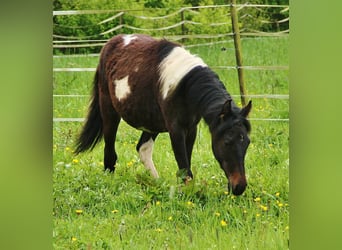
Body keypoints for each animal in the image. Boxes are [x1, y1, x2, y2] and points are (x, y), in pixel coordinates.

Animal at [75, 34, 251, 196]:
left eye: (247, 142)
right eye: (227, 141)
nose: (239, 187)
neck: (184, 86)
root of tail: (111, 43)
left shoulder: (191, 129)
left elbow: (185, 165)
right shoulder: (176, 129)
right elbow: (184, 168)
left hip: (151, 123)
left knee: (143, 148)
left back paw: (156, 183)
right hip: (109, 110)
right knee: (110, 152)